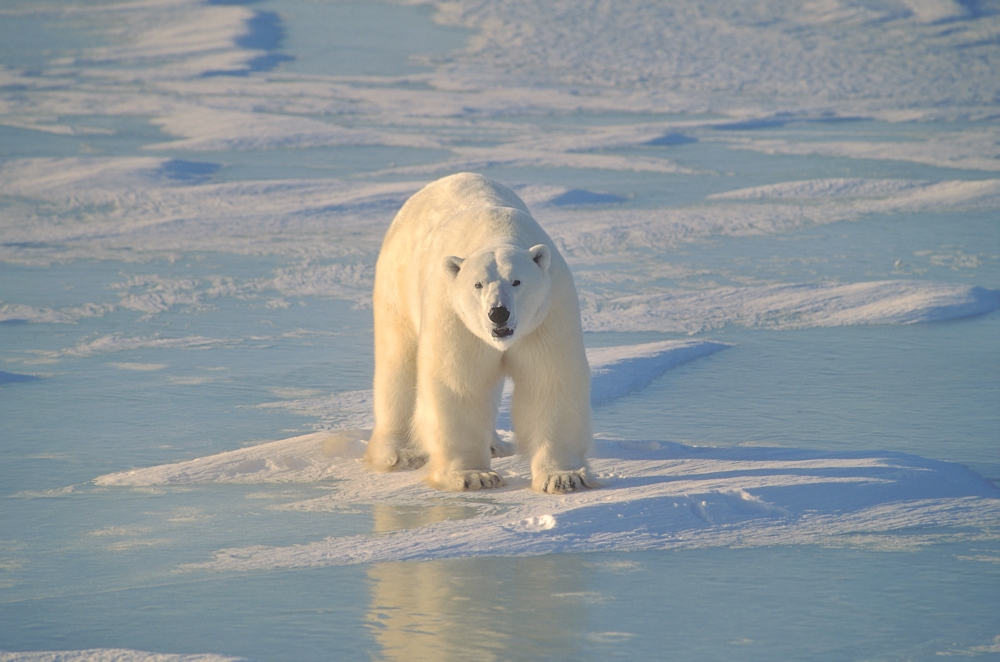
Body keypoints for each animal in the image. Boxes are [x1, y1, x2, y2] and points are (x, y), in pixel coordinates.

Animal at [364, 172, 599, 493]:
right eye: (478, 284)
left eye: (517, 281)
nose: (498, 313)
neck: (494, 231)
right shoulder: (454, 316)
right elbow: (458, 382)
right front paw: (474, 475)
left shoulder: (547, 314)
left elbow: (550, 380)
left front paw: (563, 477)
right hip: (396, 284)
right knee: (398, 362)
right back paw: (400, 453)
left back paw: (495, 445)